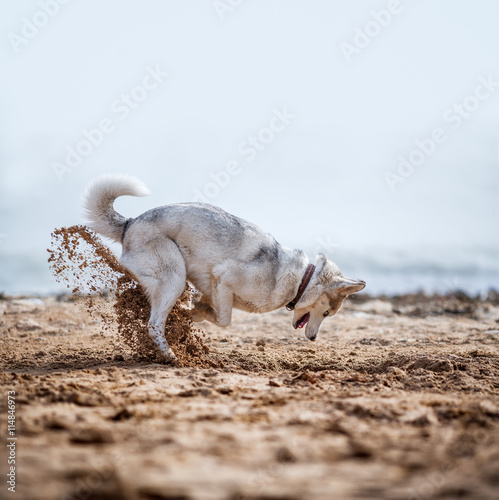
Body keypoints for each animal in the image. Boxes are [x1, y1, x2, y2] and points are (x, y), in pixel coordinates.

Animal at [81, 175, 364, 360]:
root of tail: (130, 223)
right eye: (326, 313)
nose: (314, 339)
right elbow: (224, 319)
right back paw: (170, 354)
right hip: (174, 277)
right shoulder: (223, 277)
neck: (299, 280)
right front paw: (195, 313)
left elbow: (208, 309)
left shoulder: (212, 287)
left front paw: (194, 311)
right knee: (153, 324)